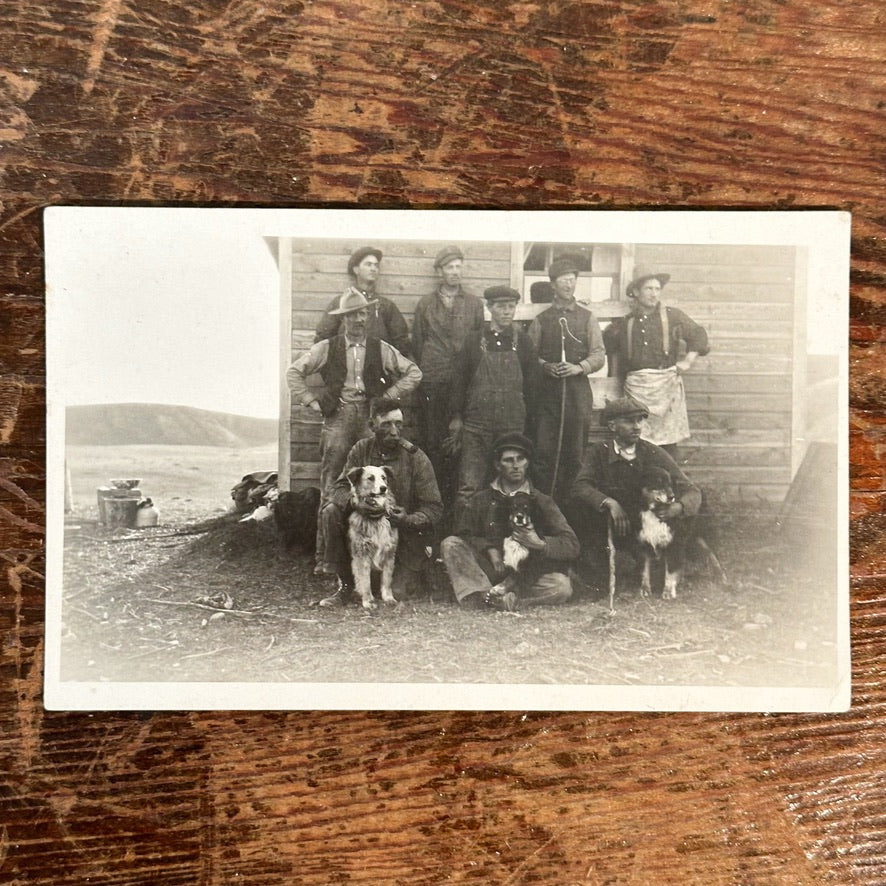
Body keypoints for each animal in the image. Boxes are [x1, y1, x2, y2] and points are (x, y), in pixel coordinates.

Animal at [348, 464, 400, 612]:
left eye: (384, 477)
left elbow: (387, 580)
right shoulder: (362, 555)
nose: (383, 488)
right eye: (370, 478)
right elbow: (365, 581)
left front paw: (388, 598)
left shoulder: (390, 553)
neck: (375, 518)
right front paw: (367, 601)